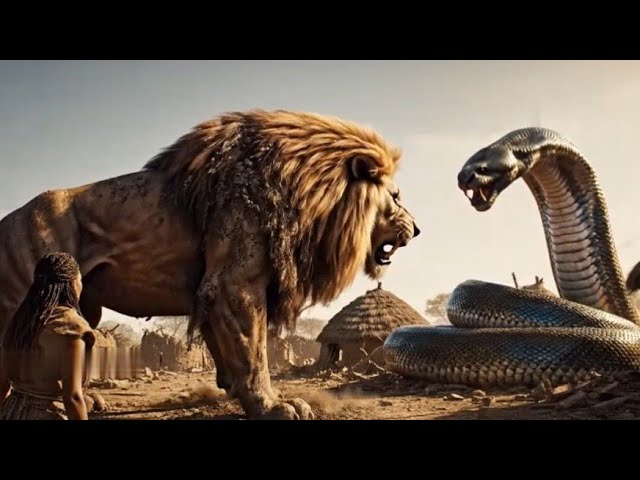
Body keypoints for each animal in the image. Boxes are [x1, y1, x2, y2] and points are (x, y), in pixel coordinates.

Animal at [0, 110, 420, 419]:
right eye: (397, 196)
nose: (416, 229)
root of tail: (8, 220)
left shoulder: (213, 289)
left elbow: (229, 348)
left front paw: (236, 391)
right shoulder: (236, 283)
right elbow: (253, 352)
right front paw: (272, 406)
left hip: (81, 304)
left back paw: (89, 401)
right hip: (26, 295)